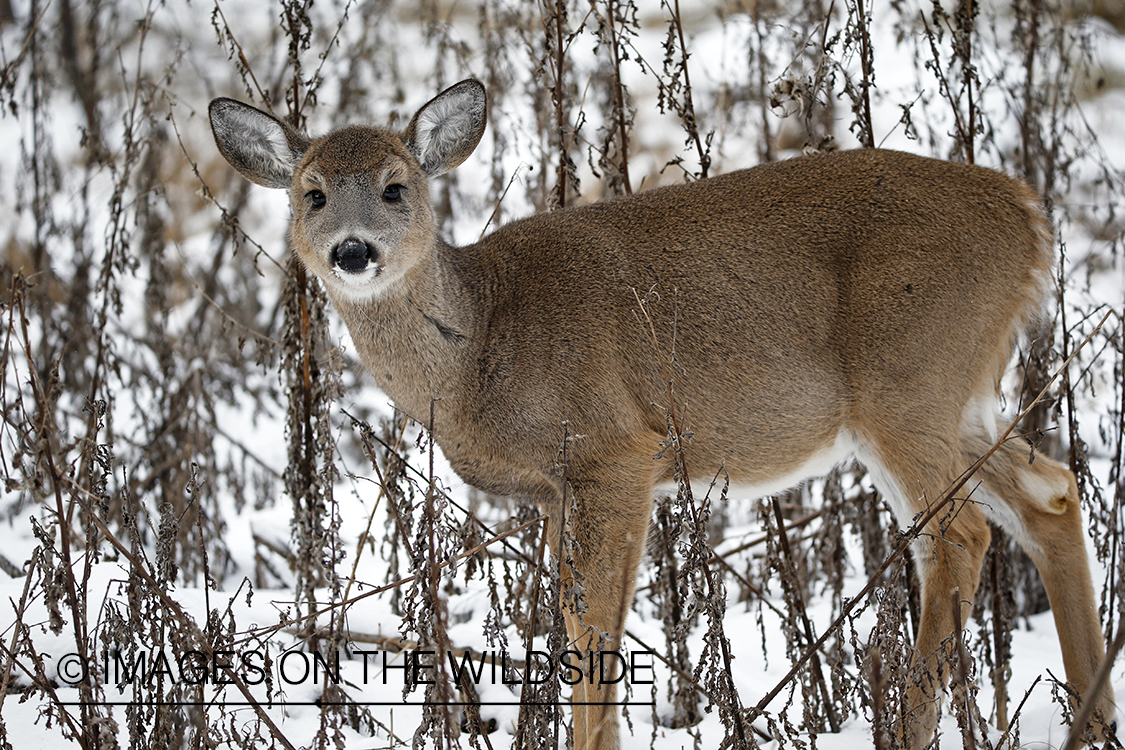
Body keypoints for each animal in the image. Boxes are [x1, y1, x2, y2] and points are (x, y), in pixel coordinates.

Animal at [211, 79, 1116, 746]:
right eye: (311, 194)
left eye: (396, 188)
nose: (351, 250)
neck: (483, 345)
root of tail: (1028, 216)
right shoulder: (559, 489)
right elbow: (575, 623)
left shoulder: (615, 451)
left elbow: (594, 634)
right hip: (960, 393)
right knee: (1050, 491)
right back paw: (1090, 720)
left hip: (907, 382)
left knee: (959, 535)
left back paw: (916, 729)